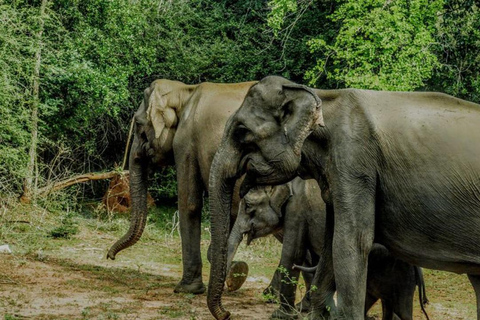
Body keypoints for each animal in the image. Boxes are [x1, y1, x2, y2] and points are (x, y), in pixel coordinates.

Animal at [105, 79, 255, 294]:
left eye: (139, 125)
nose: (110, 256)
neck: (184, 91)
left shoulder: (185, 142)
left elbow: (189, 203)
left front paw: (187, 289)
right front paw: (236, 272)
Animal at [227, 178, 430, 320]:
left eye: (248, 206)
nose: (227, 314)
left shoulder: (297, 209)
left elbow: (293, 253)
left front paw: (281, 315)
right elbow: (310, 259)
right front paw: (306, 309)